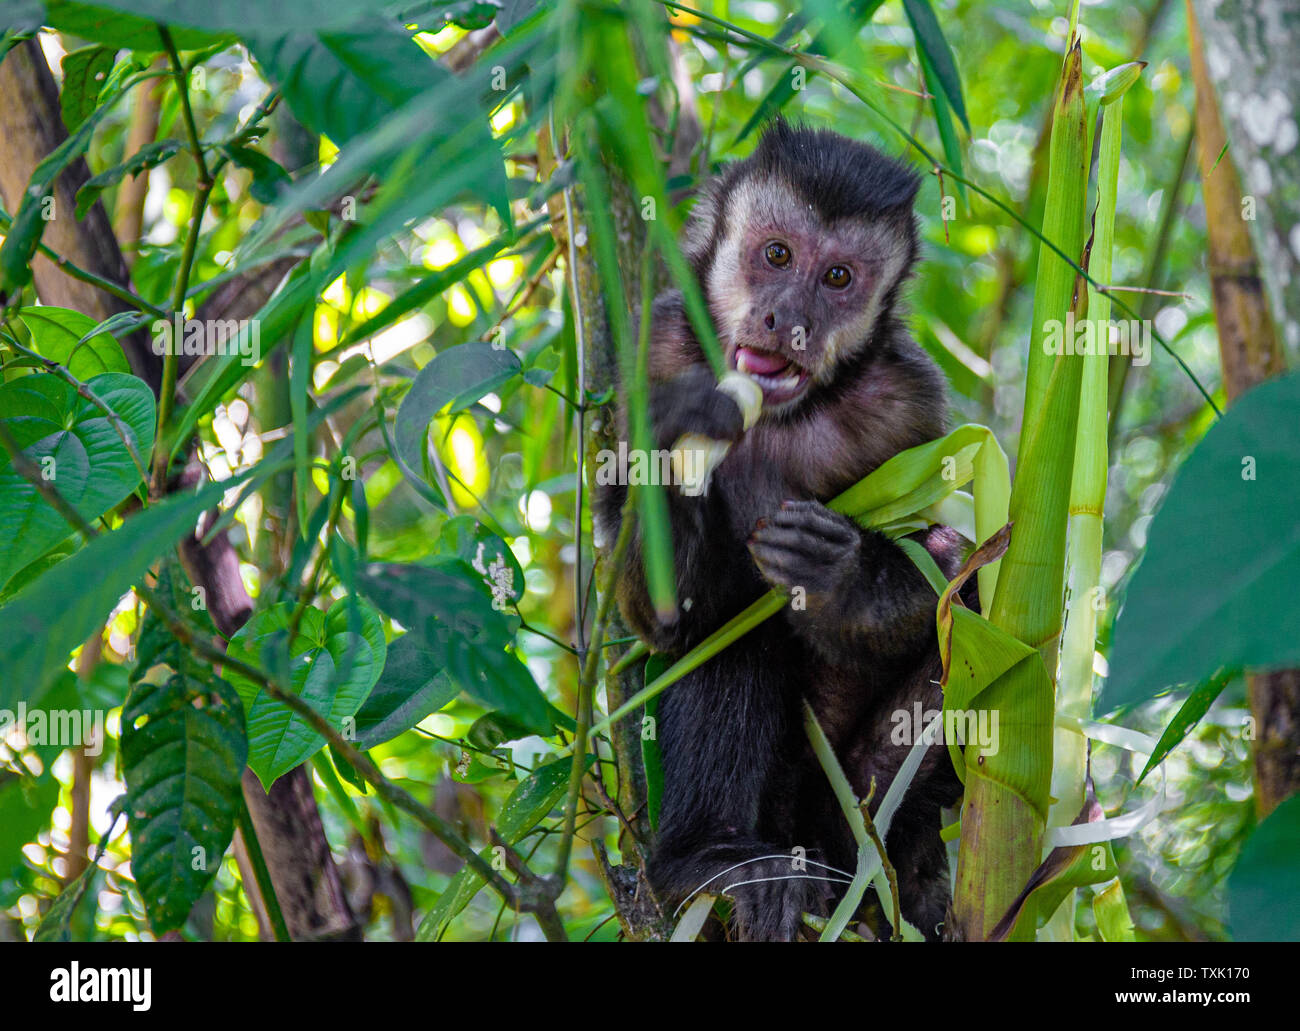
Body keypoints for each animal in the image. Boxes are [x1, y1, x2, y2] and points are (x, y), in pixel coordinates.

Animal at [595, 120, 972, 941]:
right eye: (775, 256)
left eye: (837, 277)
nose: (786, 320)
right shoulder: (653, 348)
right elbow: (660, 620)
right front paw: (678, 444)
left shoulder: (910, 399)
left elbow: (942, 570)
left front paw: (842, 574)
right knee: (732, 627)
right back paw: (710, 859)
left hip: (849, 805)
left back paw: (903, 879)